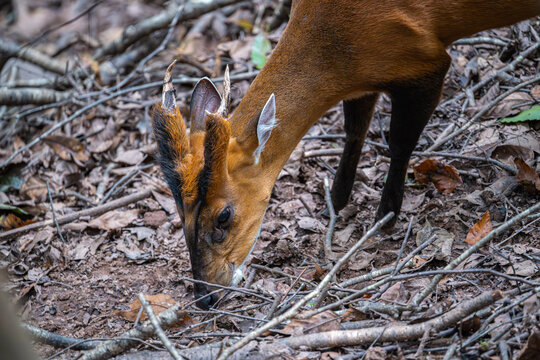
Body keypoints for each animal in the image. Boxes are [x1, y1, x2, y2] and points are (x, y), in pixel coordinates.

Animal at [152, 0, 540, 310]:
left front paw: (387, 217)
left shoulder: (426, 63)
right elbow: (355, 129)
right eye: (181, 215)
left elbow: (400, 142)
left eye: (223, 216)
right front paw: (336, 201)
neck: (337, 40)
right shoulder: (366, 79)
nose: (205, 297)